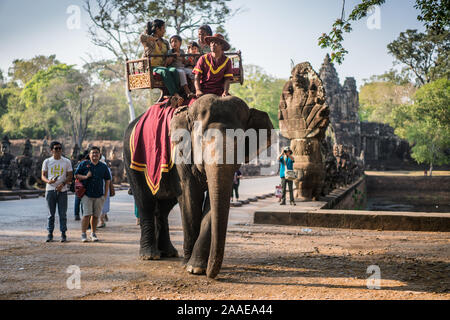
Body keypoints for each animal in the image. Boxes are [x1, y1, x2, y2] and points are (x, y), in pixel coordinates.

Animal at [123, 94, 272, 278]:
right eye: (202, 140)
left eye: (243, 142)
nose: (211, 274)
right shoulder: (180, 154)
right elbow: (189, 195)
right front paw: (190, 267)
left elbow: (211, 203)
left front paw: (197, 267)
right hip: (131, 159)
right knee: (145, 201)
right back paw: (150, 255)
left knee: (164, 207)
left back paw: (169, 253)